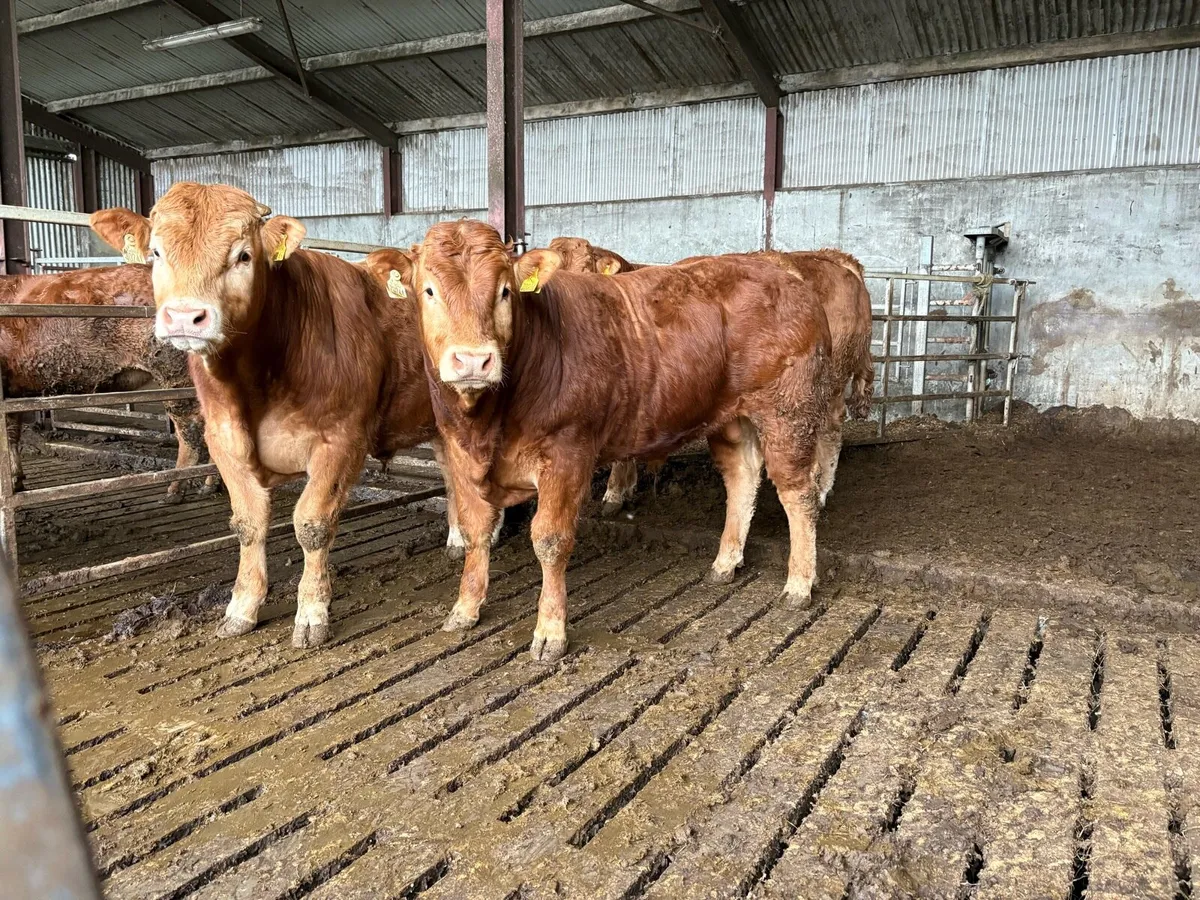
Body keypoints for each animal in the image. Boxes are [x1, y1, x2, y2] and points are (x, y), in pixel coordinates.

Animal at [0, 265, 209, 498]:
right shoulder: (13, 392)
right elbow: (11, 434)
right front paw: (16, 481)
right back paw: (207, 486)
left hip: (173, 373)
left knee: (191, 430)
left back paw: (173, 491)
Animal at [91, 184, 442, 649]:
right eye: (156, 252)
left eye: (244, 256)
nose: (185, 316)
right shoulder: (224, 439)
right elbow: (249, 523)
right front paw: (241, 607)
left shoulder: (341, 438)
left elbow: (312, 524)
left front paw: (311, 614)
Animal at [415, 220, 837, 663]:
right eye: (429, 290)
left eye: (505, 291)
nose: (473, 361)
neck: (487, 425)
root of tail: (784, 273)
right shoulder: (460, 453)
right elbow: (474, 530)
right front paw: (465, 608)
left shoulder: (567, 452)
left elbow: (550, 539)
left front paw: (550, 632)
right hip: (732, 417)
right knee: (742, 476)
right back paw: (725, 562)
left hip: (790, 411)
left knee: (799, 493)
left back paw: (799, 583)